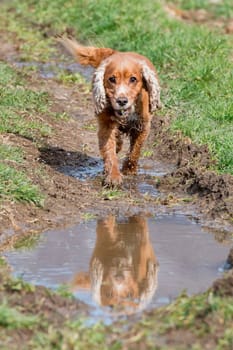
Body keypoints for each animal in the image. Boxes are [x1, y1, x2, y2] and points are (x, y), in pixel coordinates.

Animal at [57, 36, 161, 186]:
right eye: (112, 79)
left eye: (133, 79)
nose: (122, 101)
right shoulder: (106, 125)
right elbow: (109, 151)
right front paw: (113, 176)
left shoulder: (143, 125)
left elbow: (135, 149)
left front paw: (129, 170)